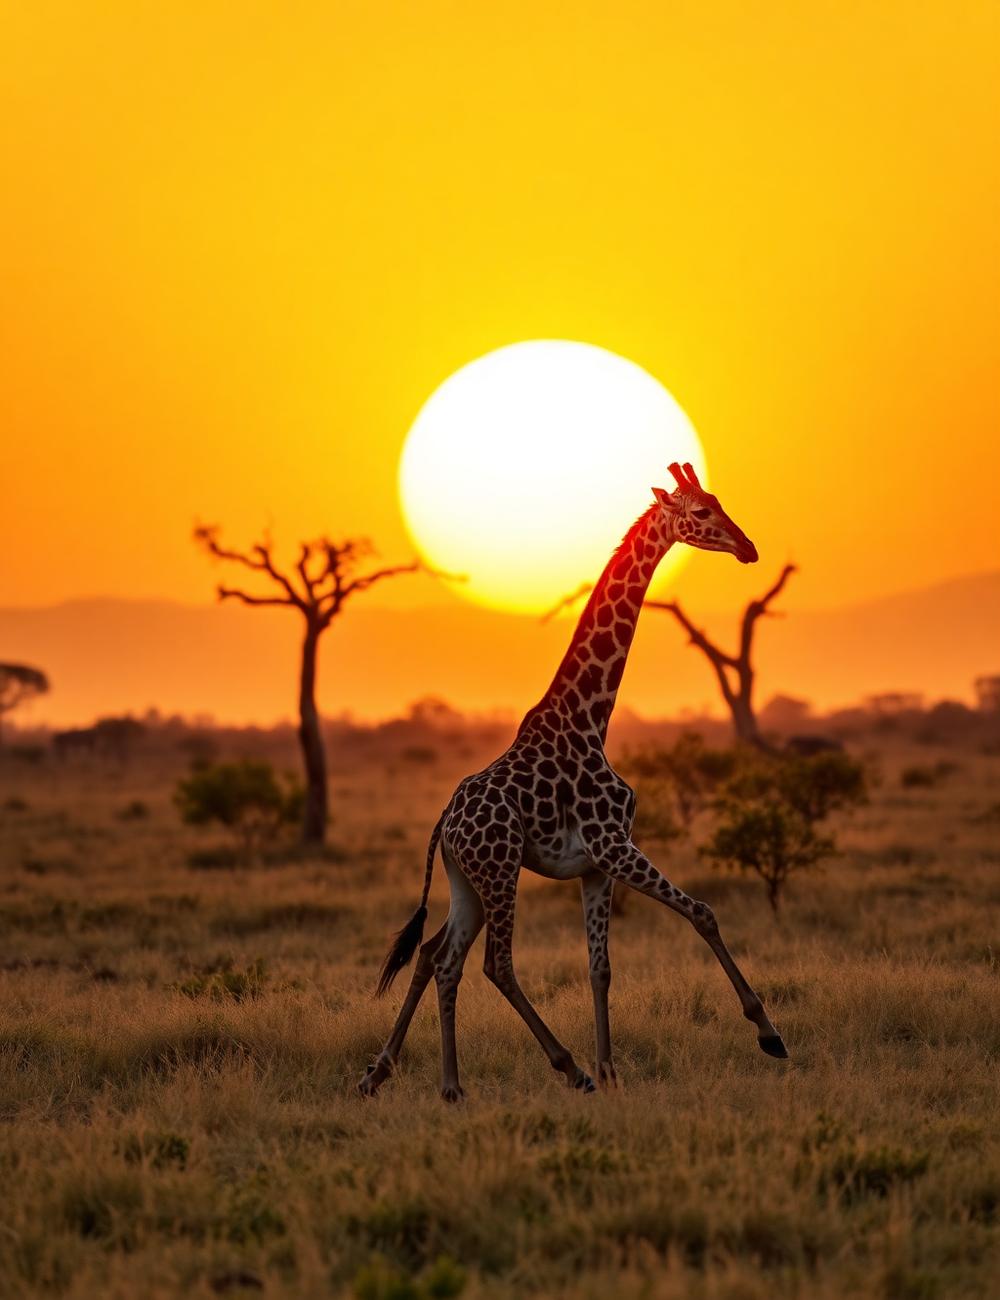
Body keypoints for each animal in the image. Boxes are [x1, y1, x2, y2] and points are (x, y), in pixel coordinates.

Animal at [359, 462, 788, 1101]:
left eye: (718, 500)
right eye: (701, 512)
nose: (749, 547)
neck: (591, 716)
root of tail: (445, 823)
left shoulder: (595, 866)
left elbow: (600, 967)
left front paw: (612, 1069)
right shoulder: (613, 845)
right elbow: (703, 911)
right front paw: (768, 1032)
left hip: (467, 881)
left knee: (440, 957)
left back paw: (434, 1083)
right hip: (499, 870)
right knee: (494, 964)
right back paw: (567, 1068)